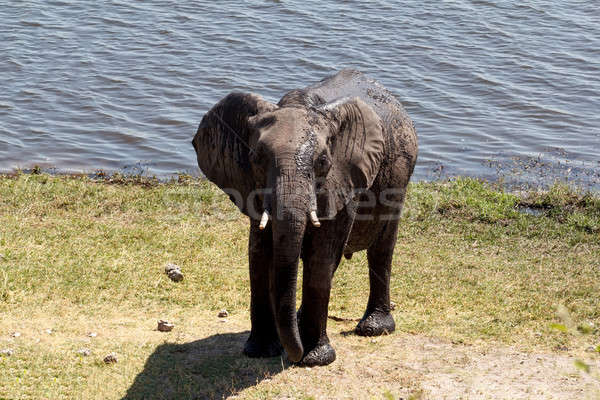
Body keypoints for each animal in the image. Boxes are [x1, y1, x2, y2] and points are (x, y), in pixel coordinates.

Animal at [192, 69, 418, 366]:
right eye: (257, 159)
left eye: (322, 162)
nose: (293, 355)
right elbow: (260, 253)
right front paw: (261, 351)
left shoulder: (343, 179)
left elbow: (321, 255)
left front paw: (315, 359)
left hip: (400, 176)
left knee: (381, 247)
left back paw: (373, 328)